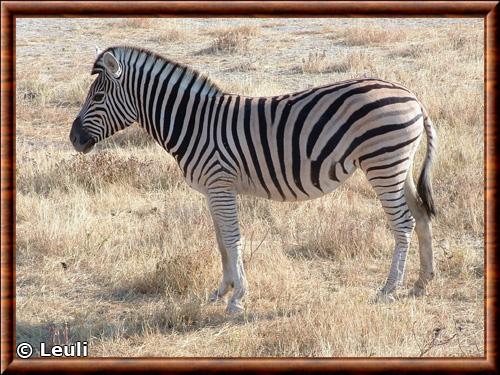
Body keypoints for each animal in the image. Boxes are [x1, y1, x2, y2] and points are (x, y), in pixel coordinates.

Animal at [68, 47, 436, 316]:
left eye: (97, 98)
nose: (73, 139)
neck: (194, 124)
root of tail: (412, 96)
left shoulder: (220, 184)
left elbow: (232, 240)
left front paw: (237, 298)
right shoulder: (212, 190)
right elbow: (220, 241)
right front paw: (221, 291)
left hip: (382, 163)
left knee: (402, 223)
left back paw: (389, 289)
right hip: (398, 165)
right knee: (420, 215)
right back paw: (422, 283)